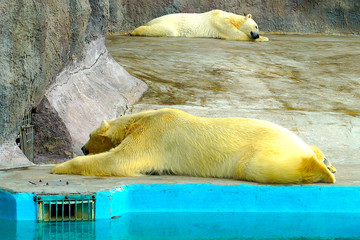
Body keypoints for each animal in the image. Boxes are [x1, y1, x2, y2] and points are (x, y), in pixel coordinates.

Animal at [52, 109, 336, 184]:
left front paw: (59, 167)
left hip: (263, 149)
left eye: (89, 135)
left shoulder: (154, 133)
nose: (82, 148)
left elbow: (119, 160)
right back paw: (326, 159)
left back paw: (322, 169)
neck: (141, 118)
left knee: (257, 166)